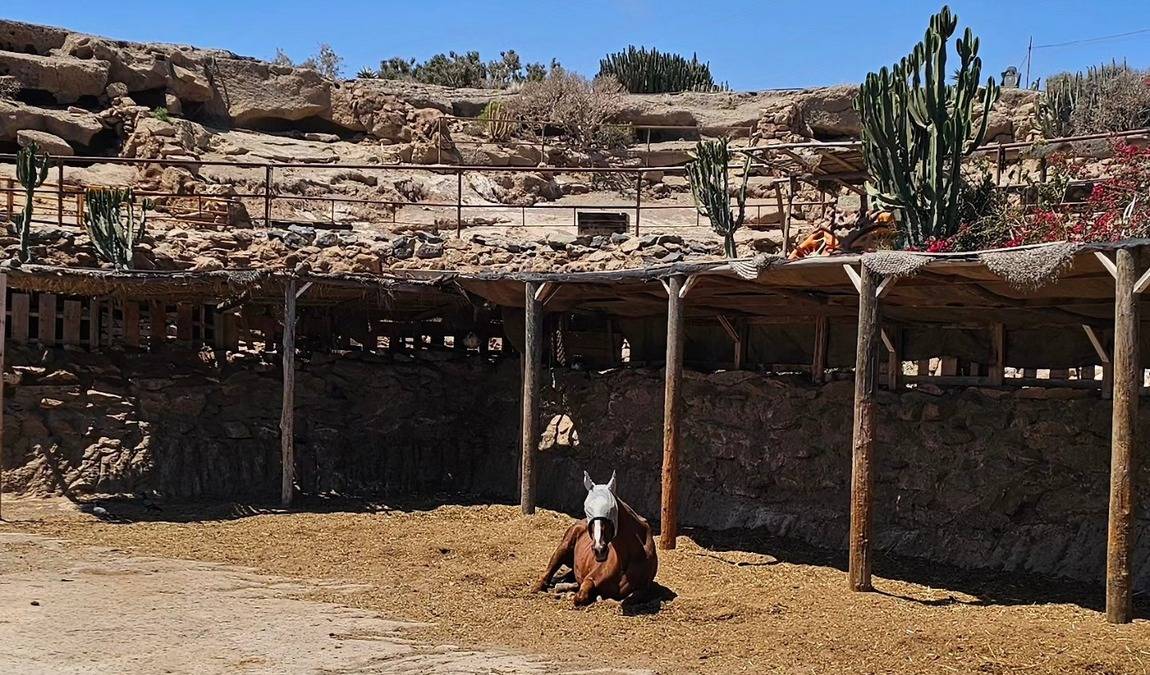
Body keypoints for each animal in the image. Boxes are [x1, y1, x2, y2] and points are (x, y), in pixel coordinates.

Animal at [532, 470, 658, 606]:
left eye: (612, 509)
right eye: (587, 509)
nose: (599, 549)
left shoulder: (644, 589)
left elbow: (630, 598)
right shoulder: (590, 579)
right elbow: (580, 596)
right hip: (562, 549)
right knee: (549, 573)